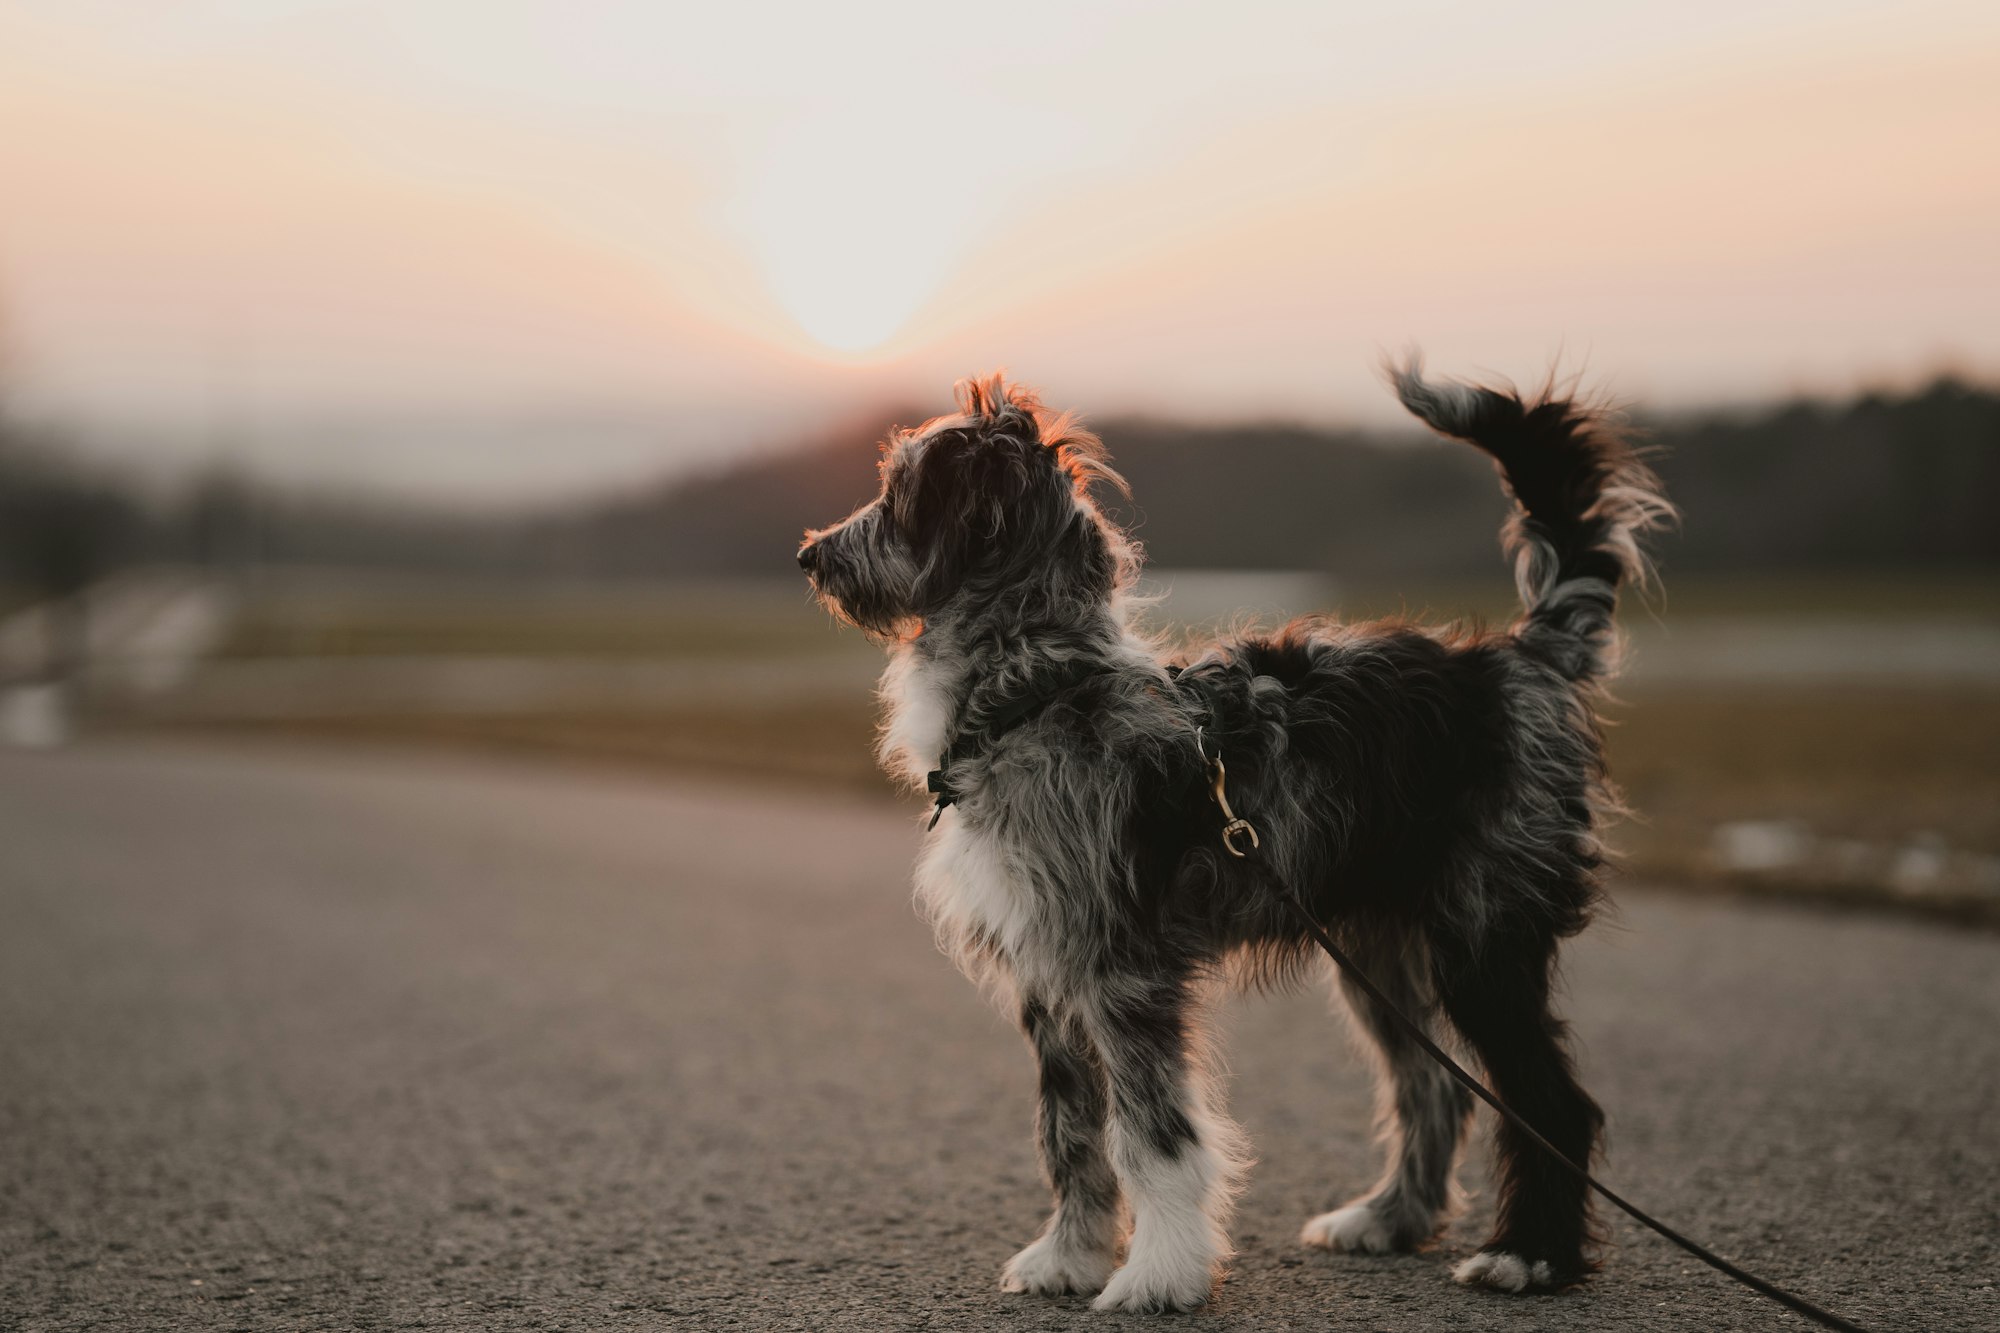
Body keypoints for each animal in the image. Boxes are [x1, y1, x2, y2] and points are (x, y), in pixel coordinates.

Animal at [796, 360, 1672, 1304]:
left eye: (899, 494)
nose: (809, 553)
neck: (1036, 690)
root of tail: (1519, 658)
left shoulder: (1123, 974)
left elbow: (1153, 1137)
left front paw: (1159, 1272)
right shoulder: (1050, 976)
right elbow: (1069, 1134)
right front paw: (1069, 1256)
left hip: (1484, 940)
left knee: (1552, 1105)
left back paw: (1529, 1255)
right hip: (1380, 953)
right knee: (1435, 1093)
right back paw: (1388, 1219)